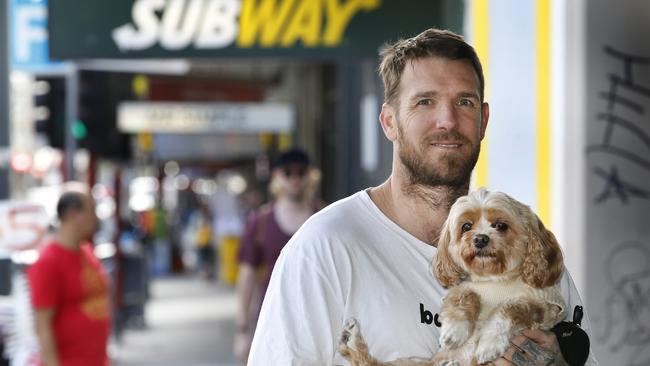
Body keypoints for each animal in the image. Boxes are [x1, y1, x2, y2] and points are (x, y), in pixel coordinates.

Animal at [336, 190, 564, 364]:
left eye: (501, 225)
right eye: (466, 226)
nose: (480, 239)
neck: (495, 279)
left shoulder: (546, 307)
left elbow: (511, 306)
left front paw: (489, 343)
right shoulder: (464, 288)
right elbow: (465, 295)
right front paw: (455, 331)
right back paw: (352, 339)